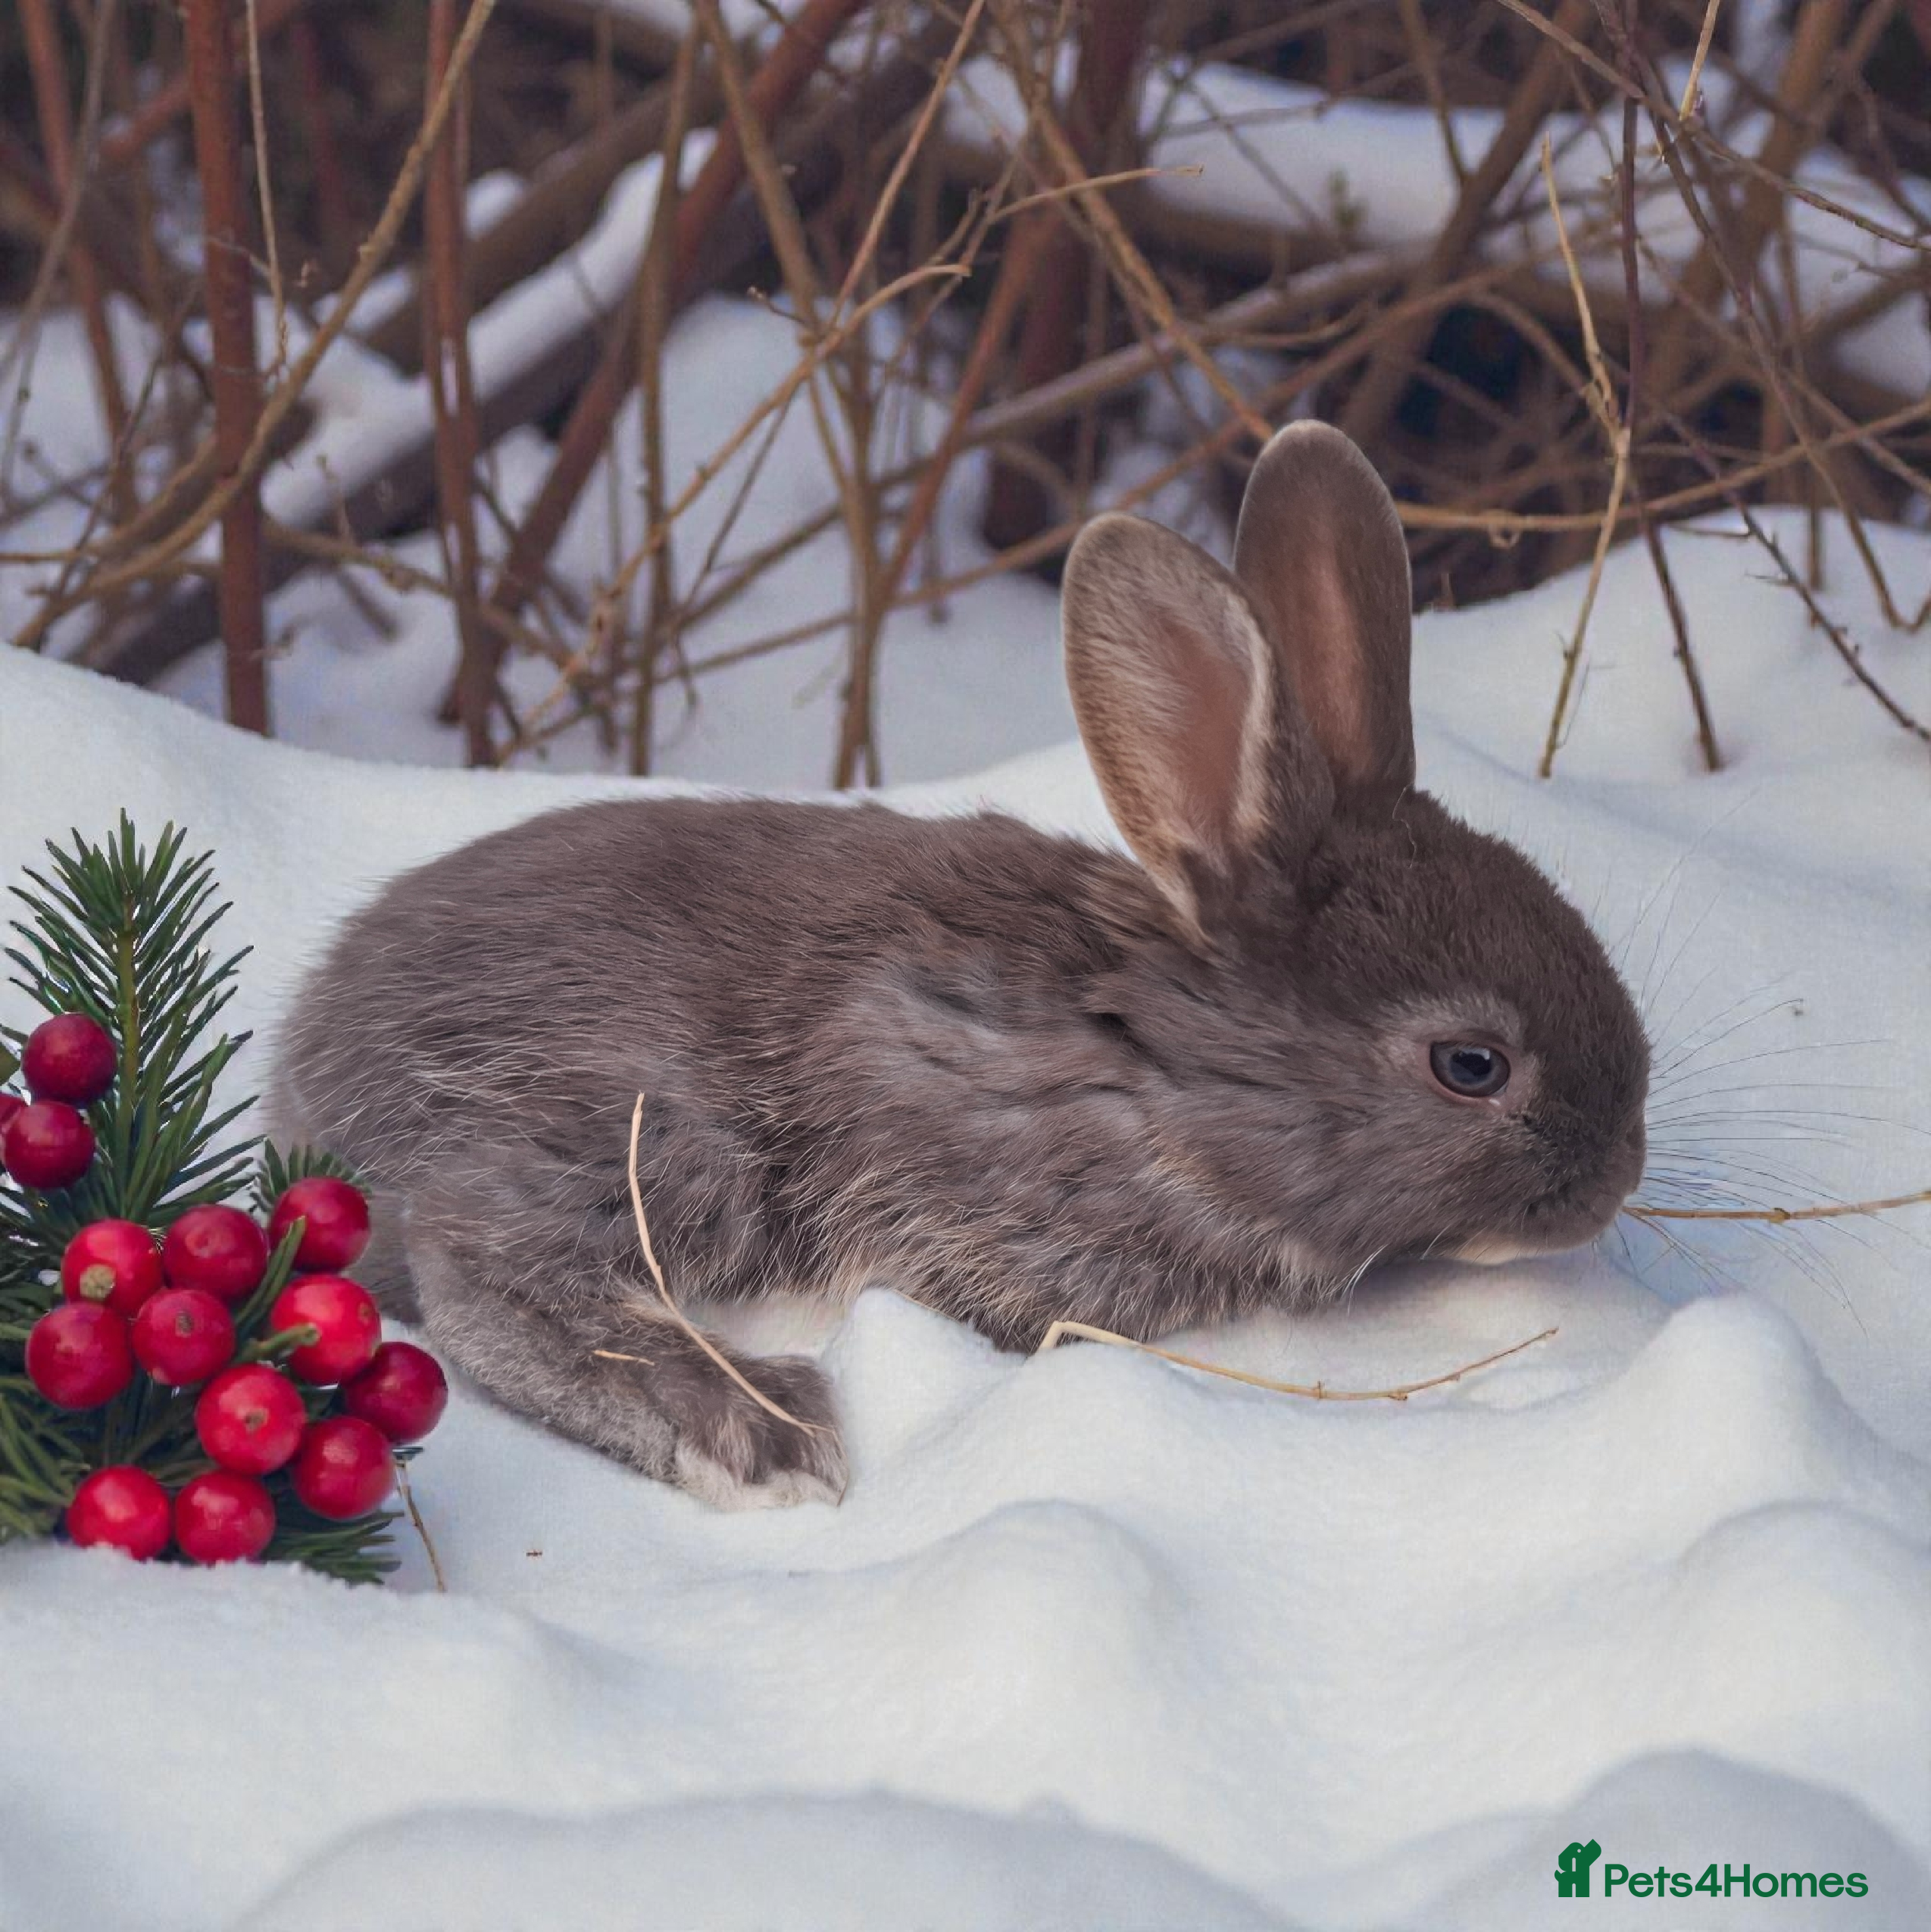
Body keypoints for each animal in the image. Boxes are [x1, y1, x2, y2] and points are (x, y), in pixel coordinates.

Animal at [273, 421, 1650, 1511]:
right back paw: (760, 1430)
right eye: (1469, 1065)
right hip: (649, 1128)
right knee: (482, 1270)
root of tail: (310, 1071)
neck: (1149, 1064)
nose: (1617, 1178)